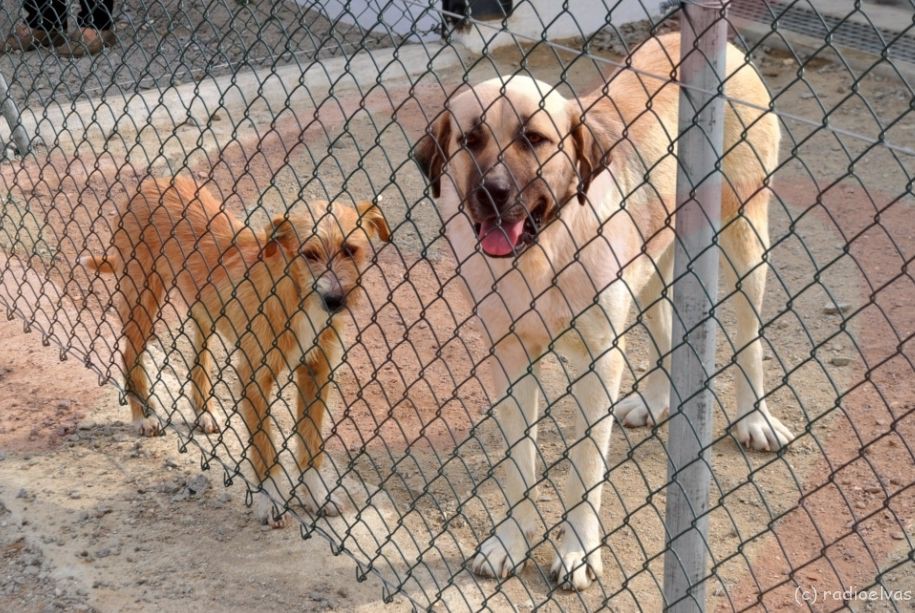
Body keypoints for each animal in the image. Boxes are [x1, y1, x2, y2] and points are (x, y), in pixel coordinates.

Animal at [81, 175, 390, 524]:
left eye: (350, 250)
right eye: (309, 255)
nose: (335, 301)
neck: (297, 297)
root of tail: (153, 181)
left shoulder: (317, 370)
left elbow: (312, 442)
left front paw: (316, 494)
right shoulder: (254, 378)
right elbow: (264, 446)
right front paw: (271, 499)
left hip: (201, 304)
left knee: (198, 353)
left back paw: (203, 411)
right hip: (142, 294)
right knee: (129, 352)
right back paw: (144, 415)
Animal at [416, 33, 796, 588]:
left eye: (534, 138)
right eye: (470, 139)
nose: (493, 192)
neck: (546, 249)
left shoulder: (599, 361)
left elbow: (584, 469)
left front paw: (577, 551)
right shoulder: (510, 355)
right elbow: (516, 462)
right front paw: (509, 541)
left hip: (745, 233)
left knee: (749, 334)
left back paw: (754, 418)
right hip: (656, 254)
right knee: (664, 322)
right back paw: (658, 400)